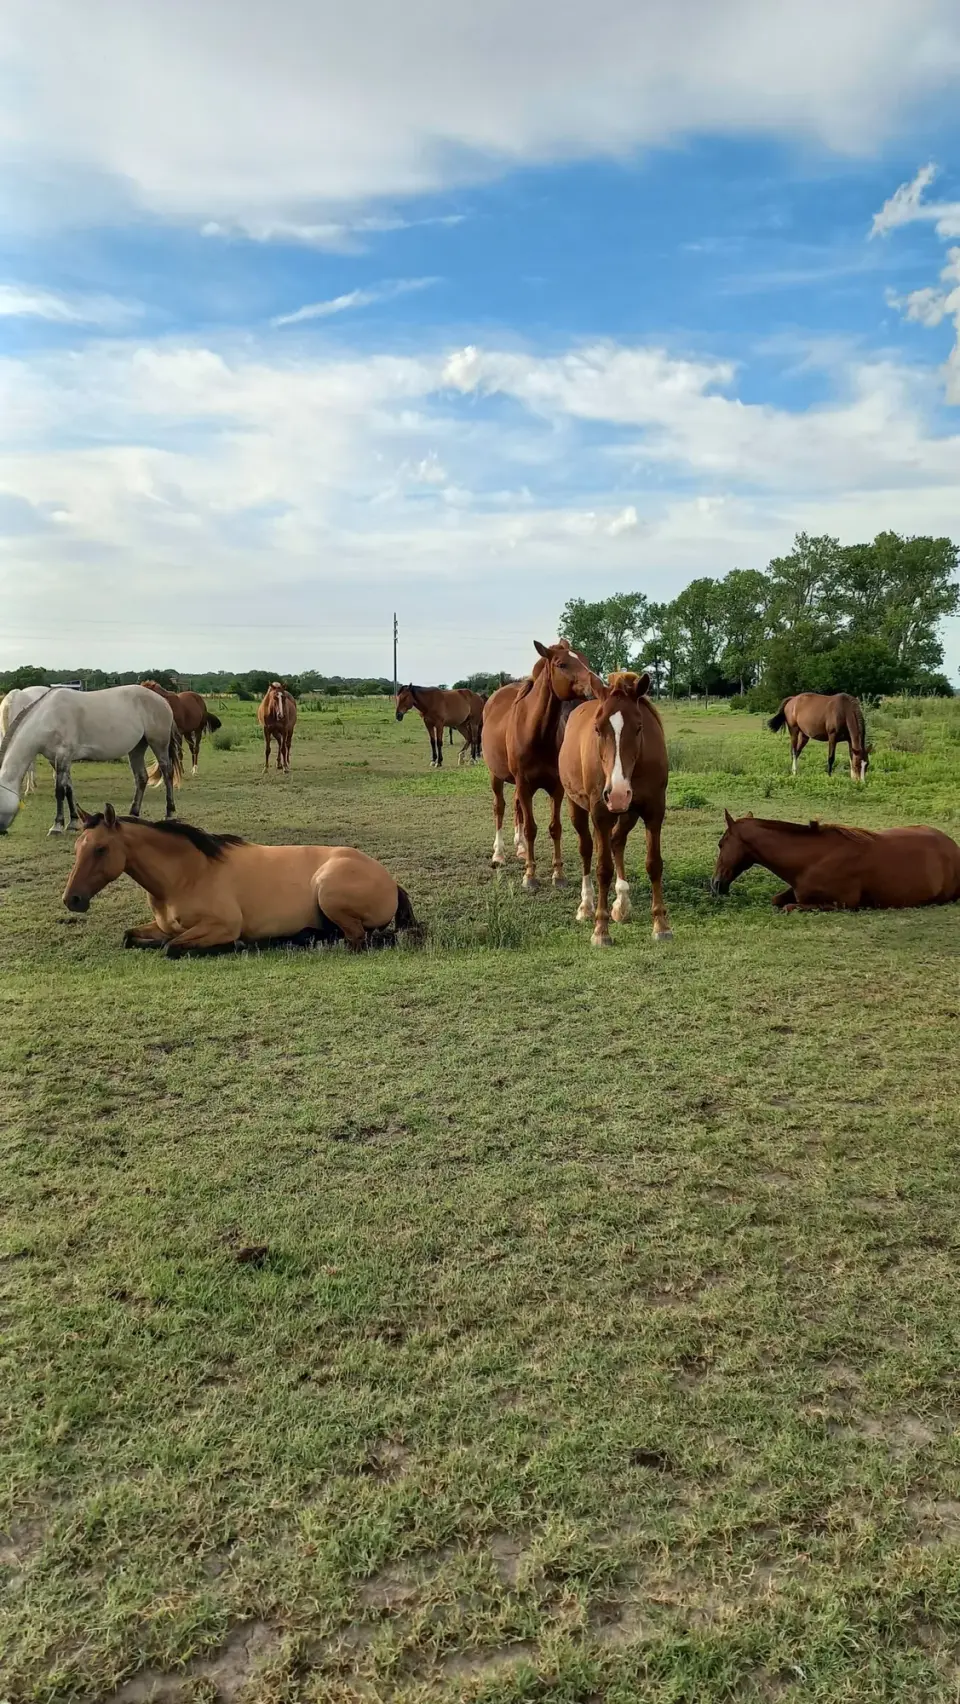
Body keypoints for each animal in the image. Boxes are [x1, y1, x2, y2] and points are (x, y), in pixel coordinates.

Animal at [0, 686, 181, 836]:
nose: (2, 832)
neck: (49, 717)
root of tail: (162, 700)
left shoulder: (62, 756)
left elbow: (59, 791)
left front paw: (57, 826)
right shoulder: (57, 760)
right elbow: (69, 789)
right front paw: (73, 822)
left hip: (159, 744)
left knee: (167, 773)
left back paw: (170, 812)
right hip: (137, 748)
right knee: (142, 778)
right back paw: (133, 814)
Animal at [62, 805, 423, 954]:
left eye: (100, 849)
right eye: (77, 846)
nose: (72, 899)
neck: (188, 874)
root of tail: (390, 880)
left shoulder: (221, 925)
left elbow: (172, 947)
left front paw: (233, 946)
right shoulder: (163, 926)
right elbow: (133, 936)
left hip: (329, 892)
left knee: (357, 940)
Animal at [481, 640, 602, 891]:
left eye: (585, 660)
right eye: (562, 664)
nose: (598, 686)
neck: (537, 733)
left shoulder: (556, 788)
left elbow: (555, 828)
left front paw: (558, 874)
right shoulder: (524, 785)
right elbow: (531, 828)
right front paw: (530, 875)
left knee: (516, 807)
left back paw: (520, 849)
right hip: (496, 776)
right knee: (500, 807)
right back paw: (499, 854)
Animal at [559, 671, 672, 946]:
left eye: (639, 727)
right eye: (597, 729)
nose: (618, 793)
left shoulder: (654, 812)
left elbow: (654, 864)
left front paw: (661, 925)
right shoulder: (601, 813)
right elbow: (603, 869)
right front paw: (601, 930)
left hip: (627, 813)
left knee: (617, 841)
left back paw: (621, 904)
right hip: (578, 807)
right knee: (587, 849)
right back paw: (586, 906)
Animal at [711, 810, 960, 911]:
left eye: (721, 844)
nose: (715, 884)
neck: (813, 859)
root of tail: (953, 846)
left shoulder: (839, 904)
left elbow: (789, 907)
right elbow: (777, 900)